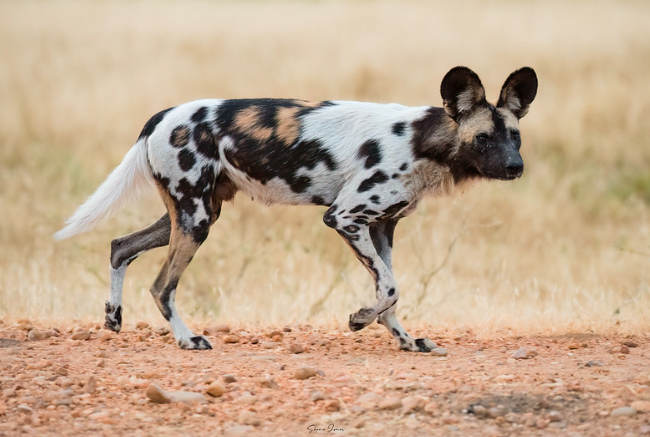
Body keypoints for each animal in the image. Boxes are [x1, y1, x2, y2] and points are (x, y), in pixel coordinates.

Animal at [54, 65, 536, 350]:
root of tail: (163, 115)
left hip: (191, 215)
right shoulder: (345, 217)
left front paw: (404, 339)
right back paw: (188, 339)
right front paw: (359, 320)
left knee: (120, 246)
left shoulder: (381, 228)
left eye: (515, 136)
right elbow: (390, 288)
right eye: (483, 139)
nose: (516, 167)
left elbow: (391, 290)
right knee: (161, 286)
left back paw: (113, 318)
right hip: (195, 220)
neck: (422, 142)